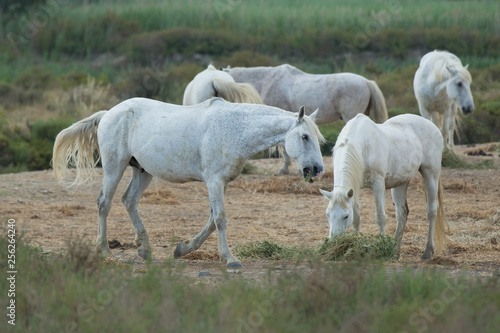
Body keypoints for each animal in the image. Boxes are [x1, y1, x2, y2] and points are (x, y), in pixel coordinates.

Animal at [51, 96, 324, 268]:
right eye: (304, 136)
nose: (317, 170)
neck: (235, 128)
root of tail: (108, 113)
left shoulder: (222, 182)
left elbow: (212, 221)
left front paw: (183, 248)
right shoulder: (214, 181)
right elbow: (220, 219)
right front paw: (230, 259)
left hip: (143, 171)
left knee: (129, 201)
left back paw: (144, 248)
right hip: (114, 166)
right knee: (104, 204)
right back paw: (106, 252)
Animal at [320, 113, 446, 258]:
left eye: (345, 216)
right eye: (327, 214)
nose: (333, 242)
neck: (362, 146)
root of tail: (432, 126)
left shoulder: (378, 185)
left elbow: (380, 217)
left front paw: (381, 247)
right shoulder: (354, 188)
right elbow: (357, 218)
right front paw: (354, 243)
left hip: (431, 174)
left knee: (431, 210)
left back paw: (428, 251)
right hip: (401, 183)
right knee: (402, 214)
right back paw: (395, 251)